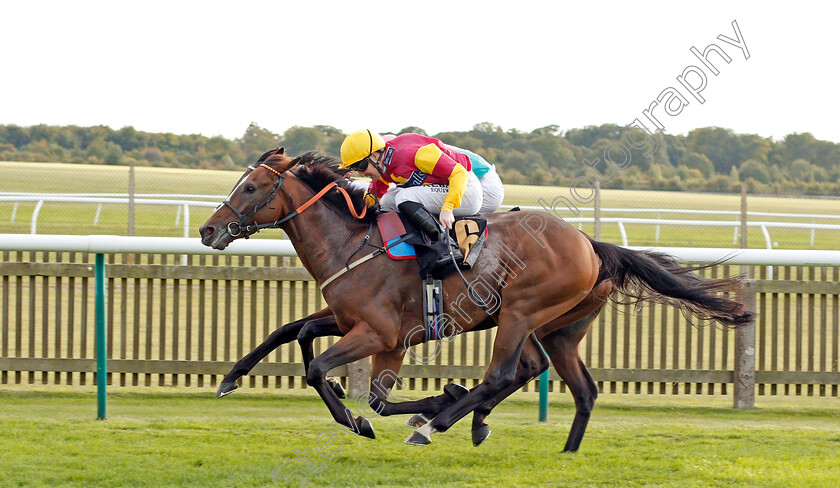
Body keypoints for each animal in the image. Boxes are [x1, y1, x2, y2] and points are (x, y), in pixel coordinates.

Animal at [199, 148, 756, 450]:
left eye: (251, 187)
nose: (208, 230)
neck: (352, 242)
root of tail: (590, 243)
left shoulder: (381, 334)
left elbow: (336, 378)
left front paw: (365, 419)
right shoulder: (354, 323)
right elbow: (293, 332)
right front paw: (230, 378)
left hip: (521, 311)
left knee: (504, 375)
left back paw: (437, 423)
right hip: (553, 328)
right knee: (567, 382)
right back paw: (542, 443)